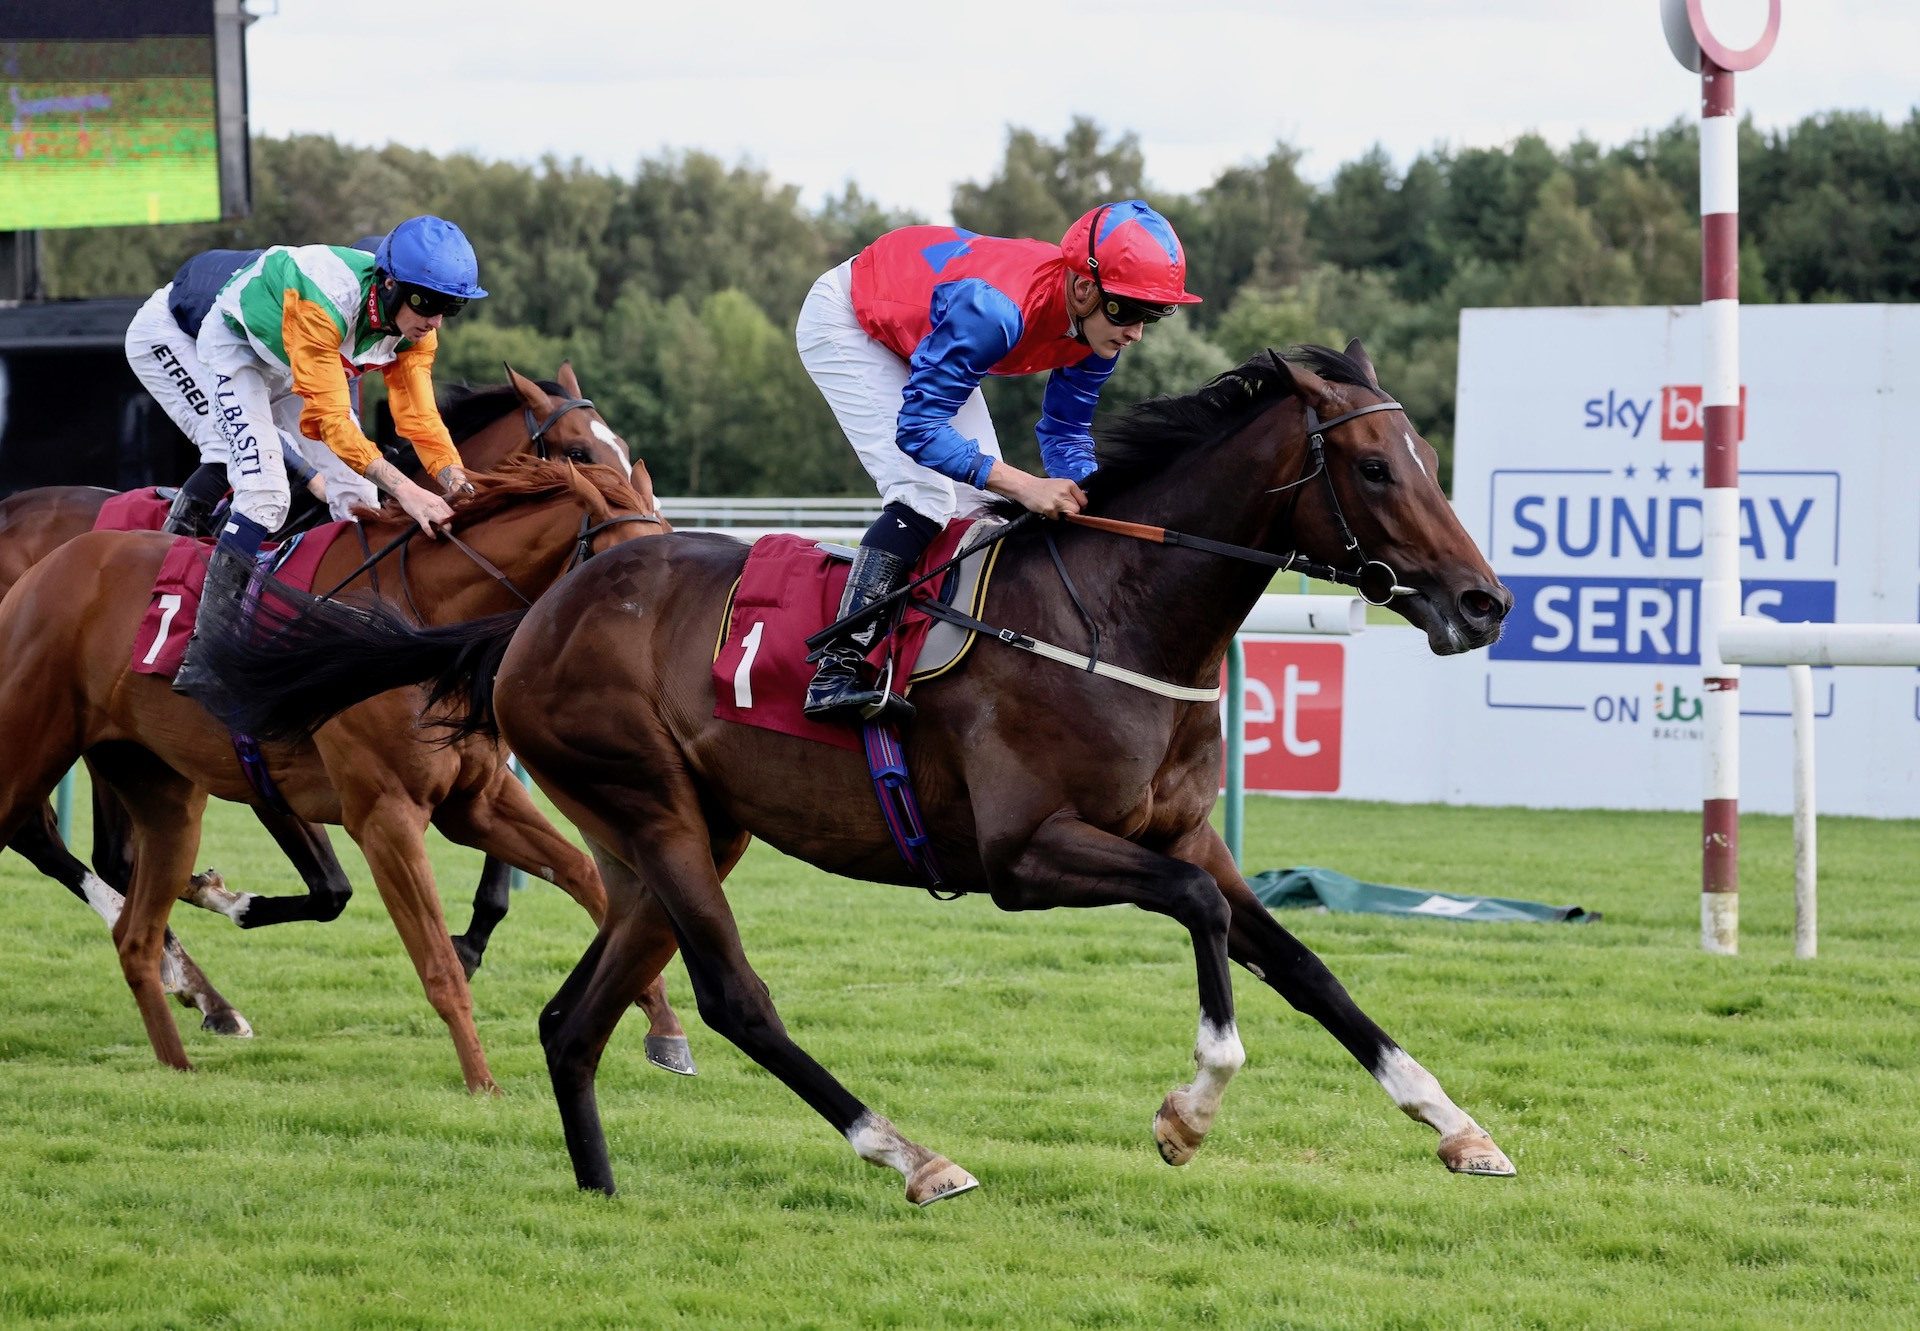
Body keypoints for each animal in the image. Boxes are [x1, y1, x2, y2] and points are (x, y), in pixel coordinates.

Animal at [0, 366, 683, 1052]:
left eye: (622, 449)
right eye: (578, 451)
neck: (413, 614)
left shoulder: (476, 786)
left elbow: (559, 878)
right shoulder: (279, 772)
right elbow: (333, 888)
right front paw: (227, 899)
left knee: (99, 851)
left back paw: (199, 988)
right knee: (62, 841)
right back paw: (199, 987)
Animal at [220, 341, 1512, 1206]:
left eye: (1425, 456)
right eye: (1374, 467)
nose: (1484, 600)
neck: (1119, 616)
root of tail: (537, 609)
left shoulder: (1184, 831)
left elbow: (1303, 964)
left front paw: (1456, 1123)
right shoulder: (1025, 855)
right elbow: (1202, 921)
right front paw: (1187, 1112)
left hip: (672, 833)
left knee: (572, 1015)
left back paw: (601, 1189)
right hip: (653, 809)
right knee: (734, 996)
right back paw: (909, 1151)